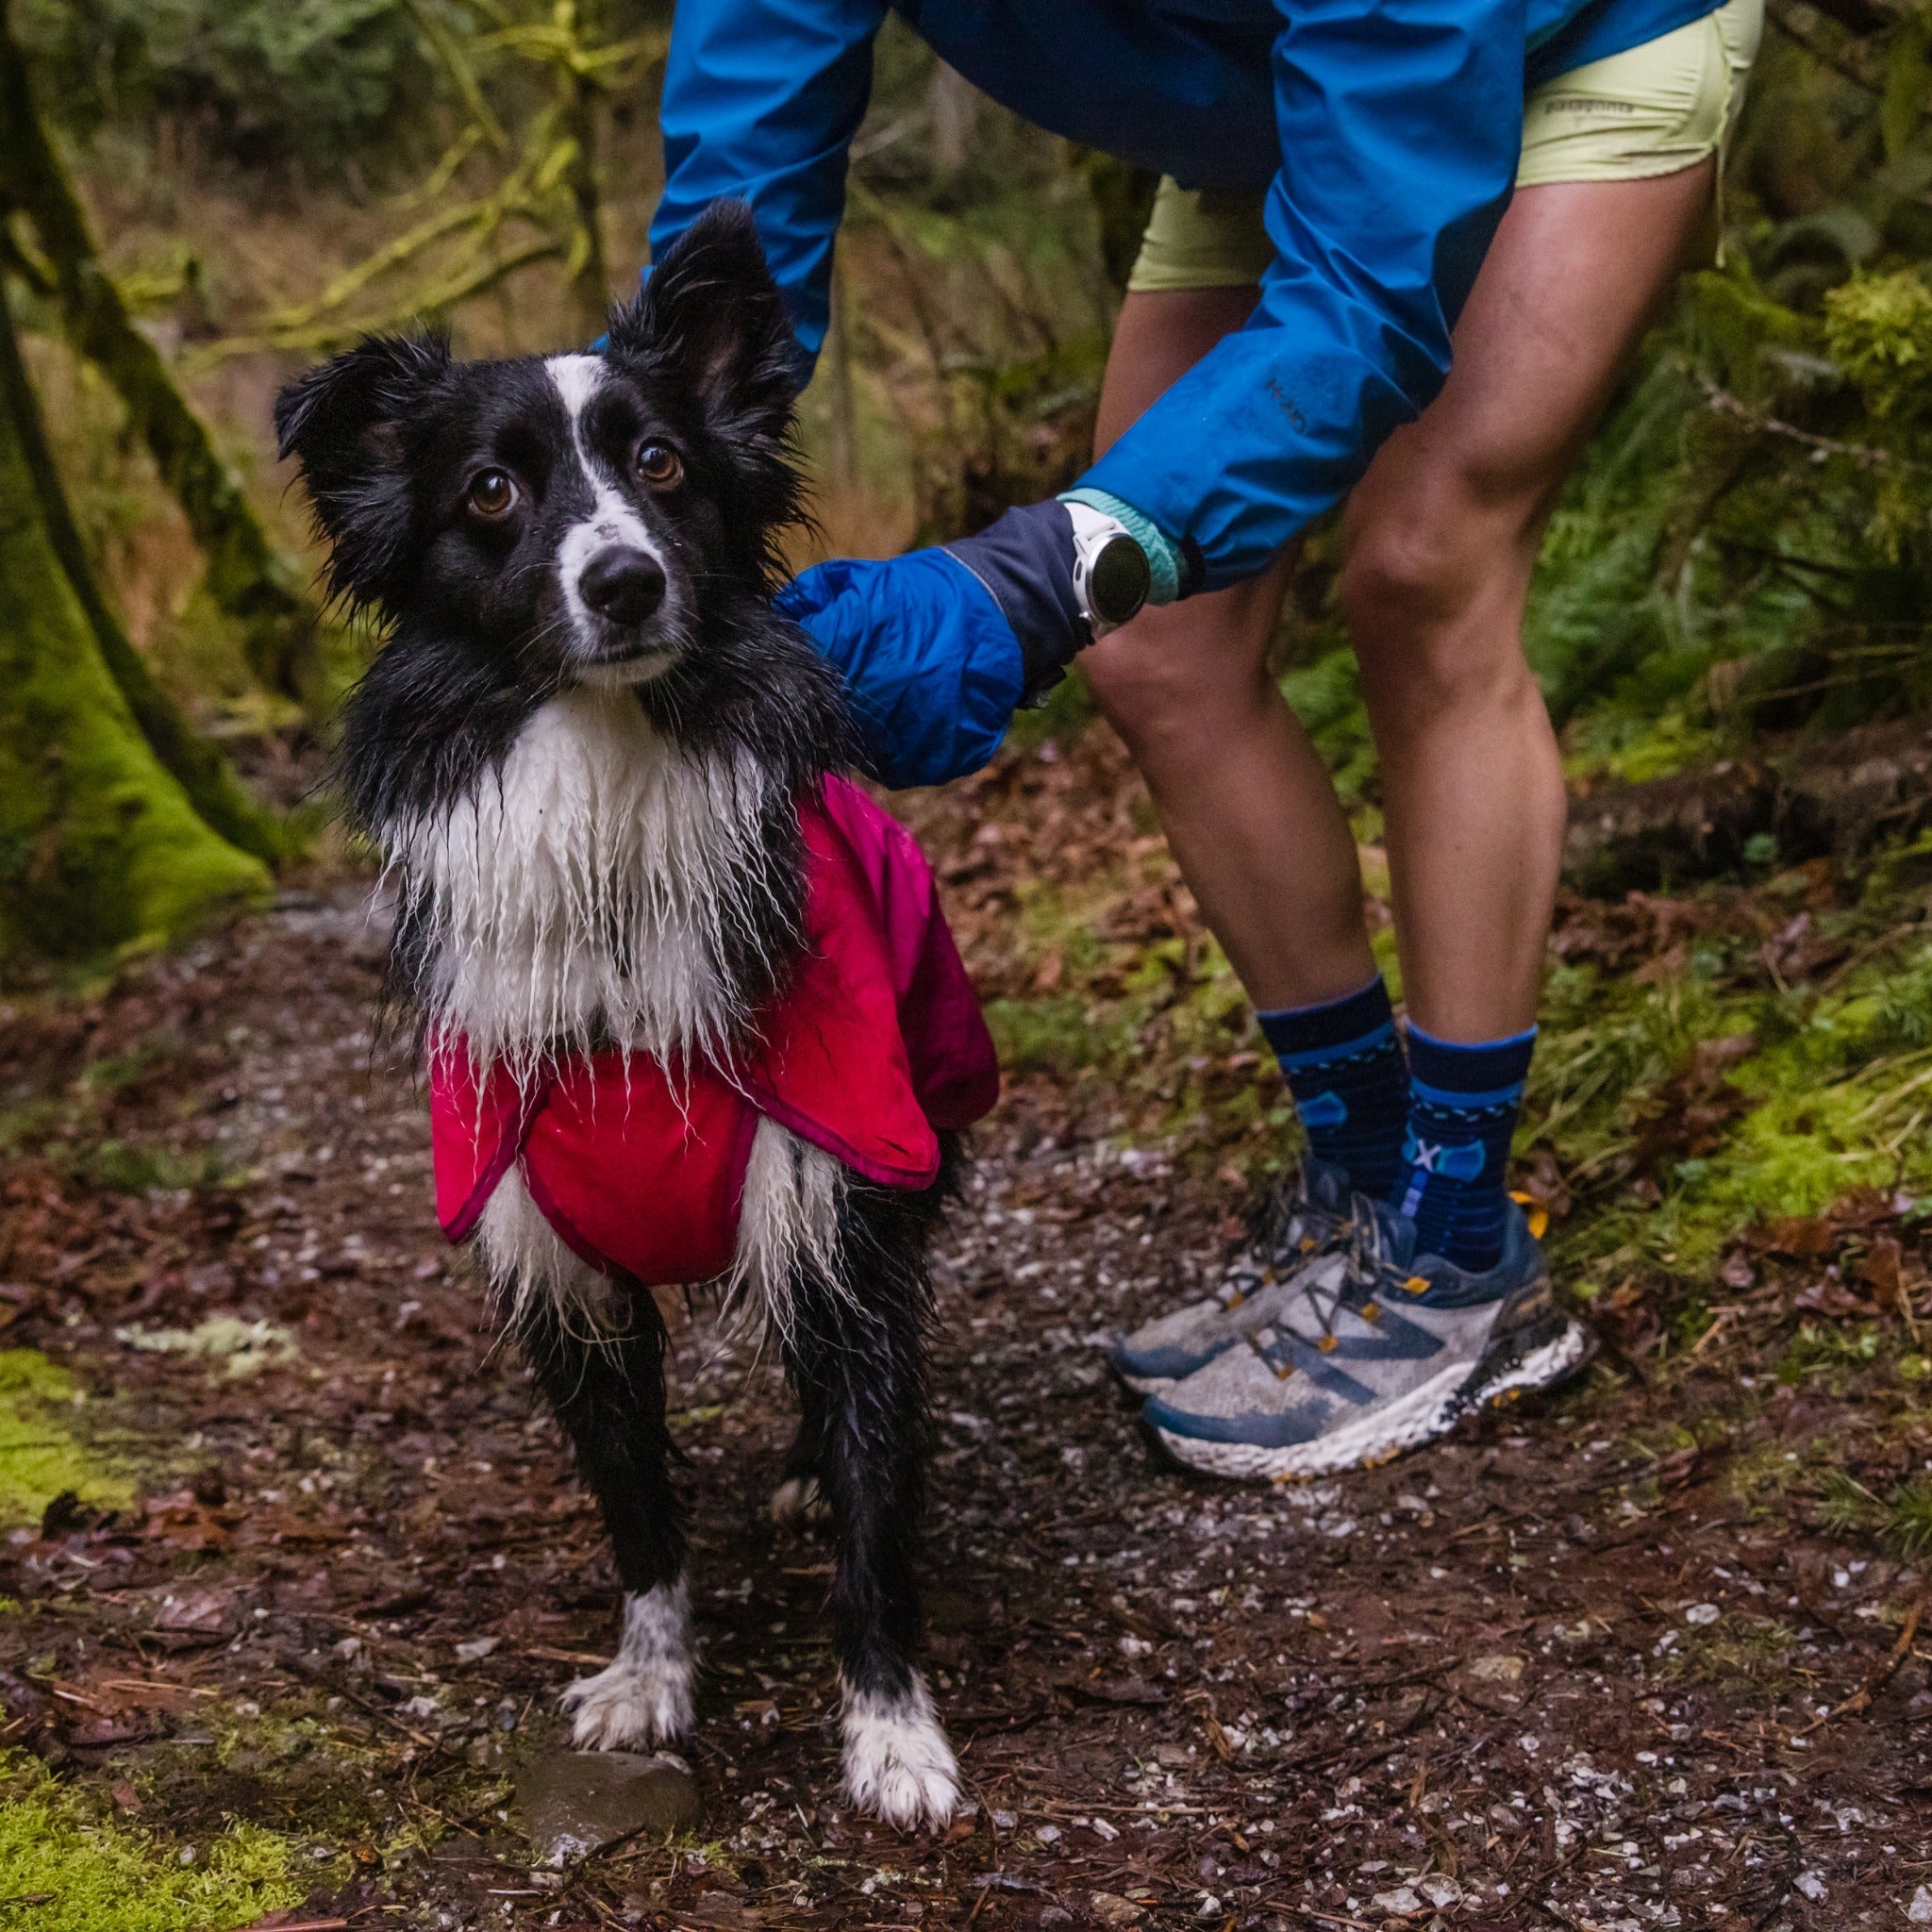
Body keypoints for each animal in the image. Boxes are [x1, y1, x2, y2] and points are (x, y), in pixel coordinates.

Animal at [272, 204, 966, 1831]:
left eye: (661, 464)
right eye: (489, 490)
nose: (629, 585)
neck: (607, 779)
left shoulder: (837, 1183)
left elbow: (875, 1504)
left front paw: (891, 1728)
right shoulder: (552, 1251)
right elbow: (637, 1507)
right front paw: (652, 1678)